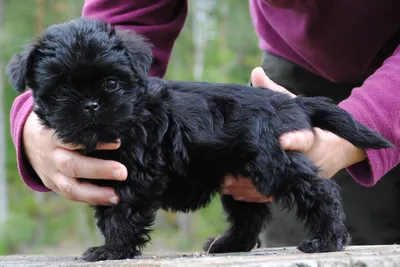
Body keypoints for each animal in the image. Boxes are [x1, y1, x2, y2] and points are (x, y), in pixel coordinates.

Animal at [6, 17, 394, 262]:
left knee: (319, 190)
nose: (91, 104)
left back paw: (326, 239)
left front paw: (112, 250)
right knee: (250, 215)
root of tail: (290, 101)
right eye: (61, 91)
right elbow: (108, 211)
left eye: (111, 83)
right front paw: (111, 245)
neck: (132, 113)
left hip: (272, 163)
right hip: (240, 175)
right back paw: (229, 244)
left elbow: (122, 212)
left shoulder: (138, 175)